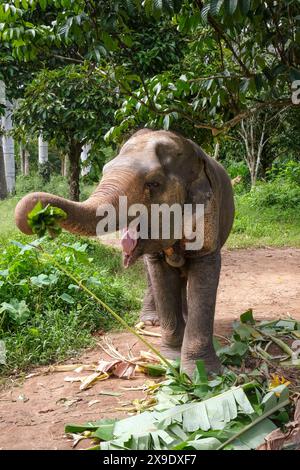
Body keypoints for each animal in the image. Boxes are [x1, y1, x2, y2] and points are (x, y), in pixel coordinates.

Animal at [14, 129, 234, 378]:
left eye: (154, 183)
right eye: (103, 170)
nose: (40, 217)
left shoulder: (209, 216)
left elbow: (204, 273)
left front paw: (203, 375)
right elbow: (160, 275)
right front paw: (171, 361)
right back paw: (152, 322)